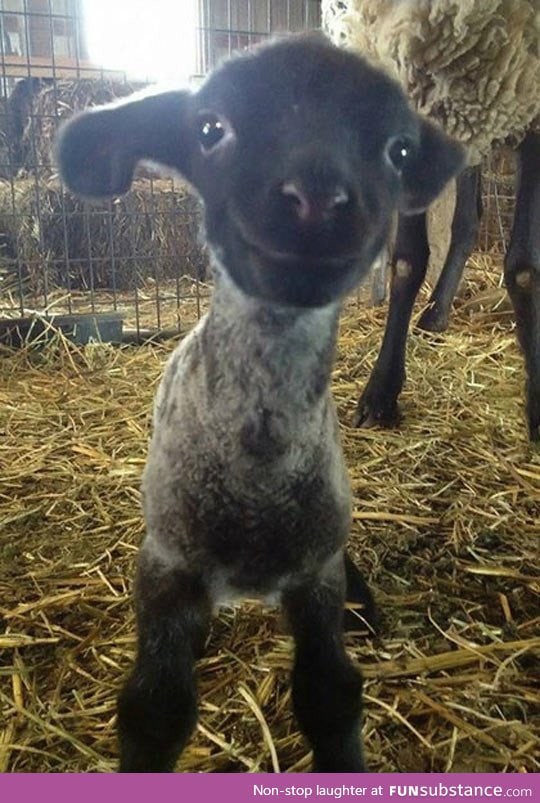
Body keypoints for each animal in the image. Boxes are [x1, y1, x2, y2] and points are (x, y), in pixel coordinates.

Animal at [56, 33, 463, 773]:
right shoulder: (167, 565)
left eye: (398, 150)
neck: (258, 469)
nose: (318, 200)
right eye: (209, 128)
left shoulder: (314, 573)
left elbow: (332, 695)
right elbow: (153, 711)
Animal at [323, 0, 540, 440]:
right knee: (469, 220)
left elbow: (524, 267)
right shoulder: (413, 87)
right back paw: (437, 312)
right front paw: (381, 392)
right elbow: (407, 260)